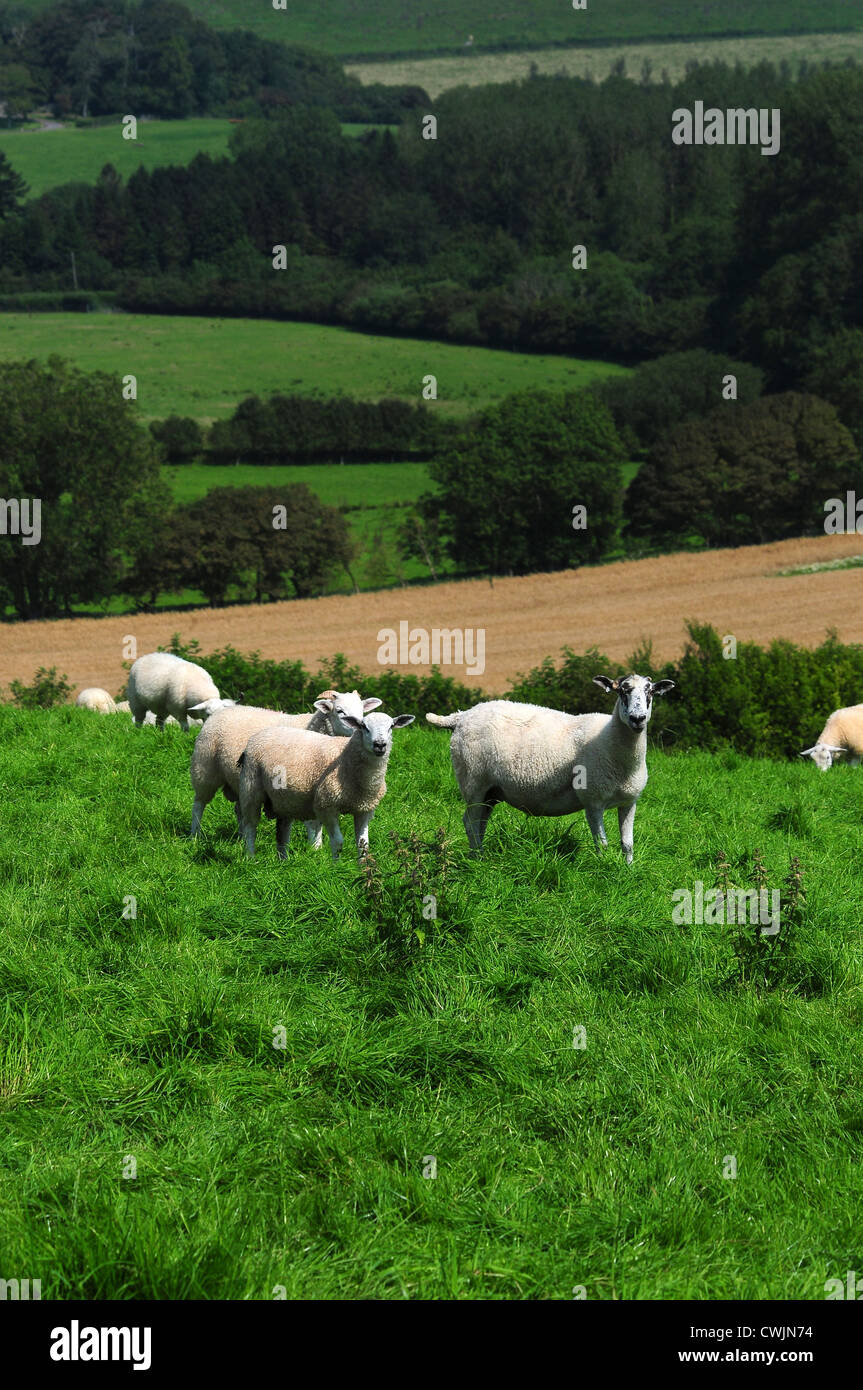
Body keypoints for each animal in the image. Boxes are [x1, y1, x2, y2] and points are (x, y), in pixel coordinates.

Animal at [190, 683, 380, 834]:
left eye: (363, 711)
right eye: (339, 711)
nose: (358, 728)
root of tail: (221, 711)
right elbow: (313, 824)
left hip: (240, 781)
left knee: (239, 810)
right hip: (204, 766)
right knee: (199, 803)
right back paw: (195, 835)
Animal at [237, 711, 416, 861]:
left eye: (391, 726)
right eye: (363, 726)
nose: (380, 745)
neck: (344, 758)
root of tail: (257, 736)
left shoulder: (365, 808)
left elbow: (363, 844)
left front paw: (364, 870)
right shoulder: (326, 806)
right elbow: (338, 841)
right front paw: (336, 868)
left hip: (284, 800)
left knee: (282, 831)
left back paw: (283, 861)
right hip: (251, 788)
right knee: (250, 827)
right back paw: (250, 858)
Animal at [428, 669, 675, 856]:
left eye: (650, 691)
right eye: (622, 691)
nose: (637, 718)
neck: (610, 741)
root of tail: (462, 715)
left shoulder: (629, 801)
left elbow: (627, 845)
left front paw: (626, 871)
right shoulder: (593, 800)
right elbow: (602, 844)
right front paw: (604, 869)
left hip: (490, 790)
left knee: (480, 822)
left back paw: (478, 854)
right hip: (472, 780)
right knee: (470, 822)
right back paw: (478, 859)